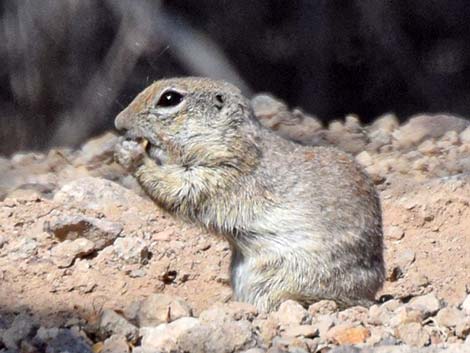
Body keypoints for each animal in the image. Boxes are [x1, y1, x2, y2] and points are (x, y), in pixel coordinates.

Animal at [114, 77, 386, 310]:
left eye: (169, 98)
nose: (118, 123)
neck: (230, 139)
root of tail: (368, 293)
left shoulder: (225, 175)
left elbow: (178, 189)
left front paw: (131, 154)